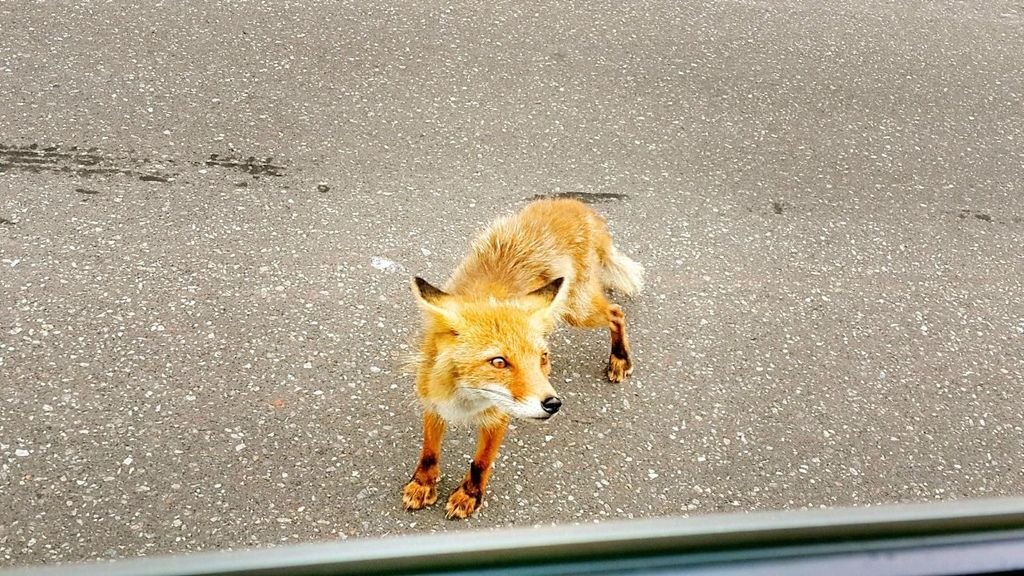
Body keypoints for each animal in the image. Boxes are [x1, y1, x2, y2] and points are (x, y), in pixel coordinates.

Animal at [399, 195, 638, 516]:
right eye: (499, 362)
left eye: (541, 357)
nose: (553, 404)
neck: (466, 397)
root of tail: (572, 203)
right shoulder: (433, 400)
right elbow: (429, 452)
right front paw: (423, 484)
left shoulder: (499, 415)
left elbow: (481, 462)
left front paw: (469, 495)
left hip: (578, 311)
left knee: (616, 312)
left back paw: (620, 359)